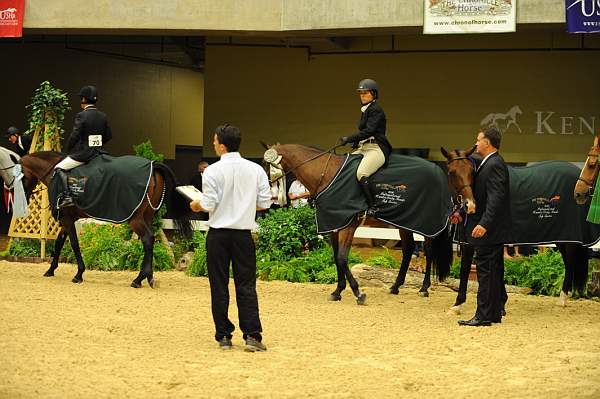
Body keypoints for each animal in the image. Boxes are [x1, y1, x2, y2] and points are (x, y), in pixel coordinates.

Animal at [0, 148, 192, 290]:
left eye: (18, 177)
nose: (20, 195)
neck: (54, 172)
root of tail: (153, 165)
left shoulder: (67, 219)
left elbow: (74, 244)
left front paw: (78, 274)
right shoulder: (66, 219)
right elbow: (60, 242)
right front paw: (50, 269)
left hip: (136, 219)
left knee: (147, 238)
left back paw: (138, 279)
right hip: (148, 216)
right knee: (150, 241)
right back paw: (150, 278)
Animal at [262, 145, 450, 304]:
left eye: (267, 164)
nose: (268, 190)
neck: (327, 174)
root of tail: (438, 170)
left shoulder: (348, 227)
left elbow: (342, 258)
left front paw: (358, 293)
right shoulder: (334, 226)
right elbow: (336, 258)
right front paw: (337, 292)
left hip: (425, 223)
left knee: (429, 251)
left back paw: (424, 288)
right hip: (405, 221)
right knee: (408, 249)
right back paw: (395, 287)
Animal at [446, 145, 592, 310]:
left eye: (471, 171)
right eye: (452, 172)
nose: (469, 205)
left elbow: (466, 267)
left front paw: (457, 304)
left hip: (570, 238)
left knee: (570, 262)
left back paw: (562, 299)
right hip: (561, 238)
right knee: (568, 263)